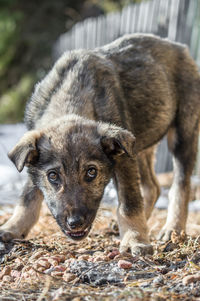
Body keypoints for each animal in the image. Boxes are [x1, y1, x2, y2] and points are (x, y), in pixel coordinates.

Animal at [0, 32, 199, 254]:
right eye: (52, 176)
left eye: (91, 172)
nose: (75, 223)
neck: (71, 98)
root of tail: (177, 46)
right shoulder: (31, 160)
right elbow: (27, 197)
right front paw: (13, 227)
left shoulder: (123, 160)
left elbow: (129, 203)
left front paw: (134, 240)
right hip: (138, 146)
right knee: (153, 187)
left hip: (182, 133)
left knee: (180, 185)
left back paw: (173, 229)